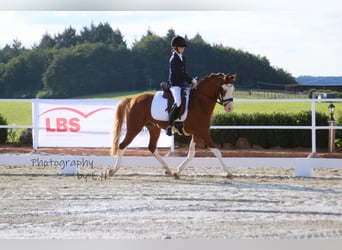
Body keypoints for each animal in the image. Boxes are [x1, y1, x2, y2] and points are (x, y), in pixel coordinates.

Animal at [108, 71, 236, 179]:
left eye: (233, 89)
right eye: (223, 89)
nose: (230, 108)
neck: (200, 102)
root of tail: (132, 99)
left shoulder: (197, 133)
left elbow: (191, 154)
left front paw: (177, 172)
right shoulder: (204, 132)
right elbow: (217, 151)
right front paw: (228, 173)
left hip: (153, 128)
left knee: (152, 147)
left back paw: (168, 170)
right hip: (134, 127)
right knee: (122, 145)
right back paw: (113, 170)